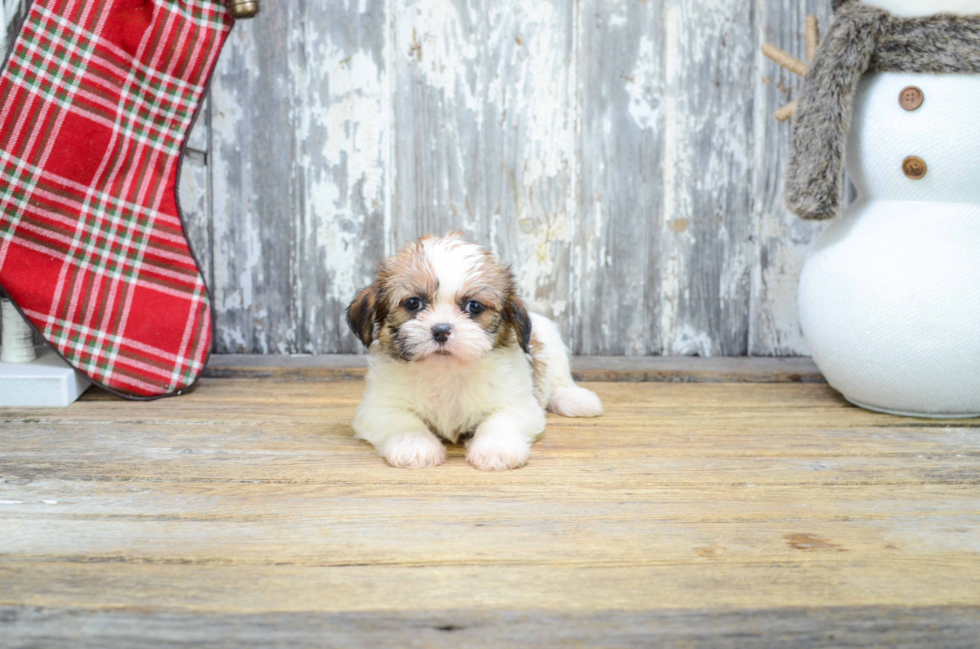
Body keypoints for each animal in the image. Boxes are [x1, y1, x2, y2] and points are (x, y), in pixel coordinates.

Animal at [344, 233, 604, 470]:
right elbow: (402, 420)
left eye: (474, 306)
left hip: (552, 342)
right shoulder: (378, 407)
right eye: (413, 303)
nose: (441, 330)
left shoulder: (517, 403)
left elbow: (501, 420)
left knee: (559, 381)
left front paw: (496, 448)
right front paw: (414, 444)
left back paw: (575, 399)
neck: (445, 371)